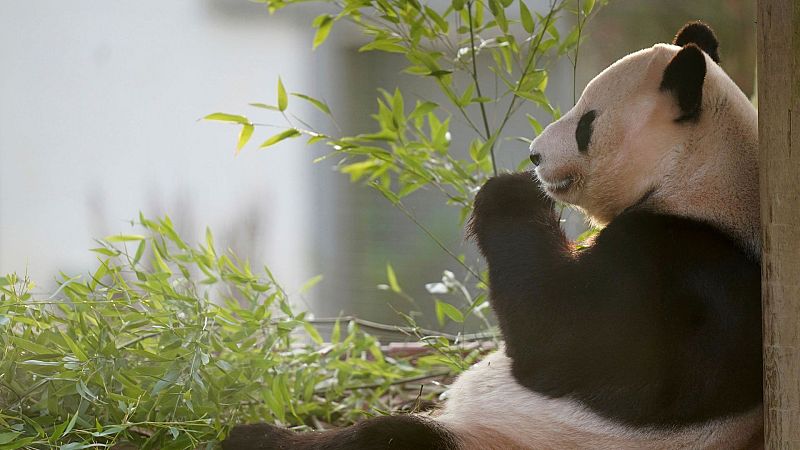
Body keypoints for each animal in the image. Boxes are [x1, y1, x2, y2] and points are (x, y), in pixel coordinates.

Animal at [223, 22, 762, 450]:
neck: (697, 174)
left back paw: (254, 436)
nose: (535, 155)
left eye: (587, 124)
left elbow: (566, 340)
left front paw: (508, 191)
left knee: (391, 439)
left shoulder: (676, 260)